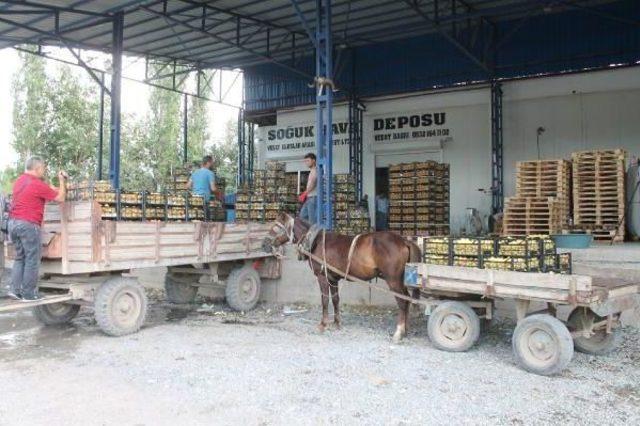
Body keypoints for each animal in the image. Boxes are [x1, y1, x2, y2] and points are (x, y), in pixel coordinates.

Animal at [266, 213, 422, 342]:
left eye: (276, 227)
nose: (266, 242)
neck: (315, 241)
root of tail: (404, 241)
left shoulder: (322, 277)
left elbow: (324, 300)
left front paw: (323, 324)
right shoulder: (333, 278)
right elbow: (335, 299)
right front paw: (336, 323)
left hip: (393, 280)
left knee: (402, 302)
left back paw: (399, 332)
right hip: (400, 279)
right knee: (407, 299)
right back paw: (405, 330)